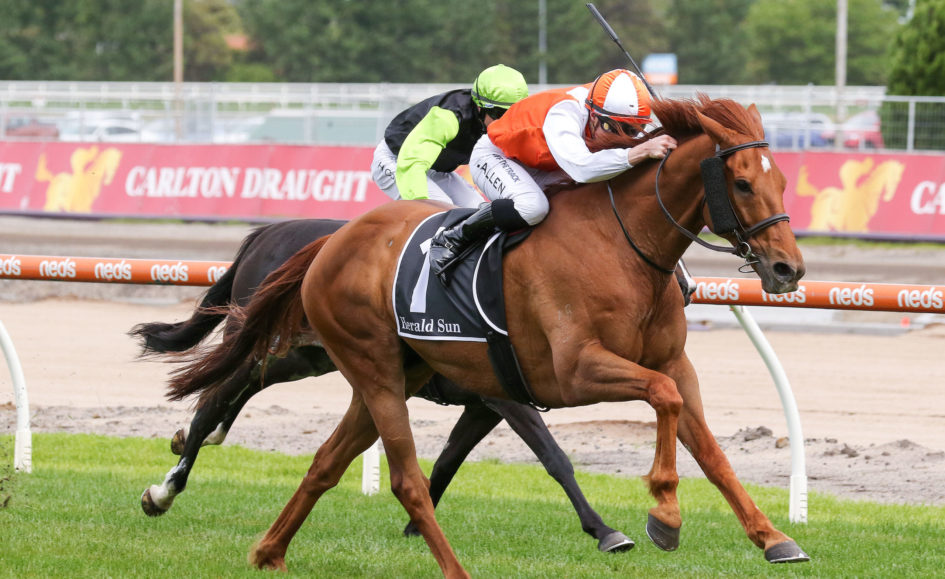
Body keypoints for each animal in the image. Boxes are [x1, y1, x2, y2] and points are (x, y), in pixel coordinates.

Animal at [133, 218, 634, 553]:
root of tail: (268, 231)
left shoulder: (484, 405)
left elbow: (449, 459)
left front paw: (415, 526)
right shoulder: (503, 399)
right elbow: (554, 457)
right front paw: (605, 530)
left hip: (301, 356)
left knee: (234, 391)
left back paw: (189, 445)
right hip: (262, 341)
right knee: (213, 396)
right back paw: (165, 490)